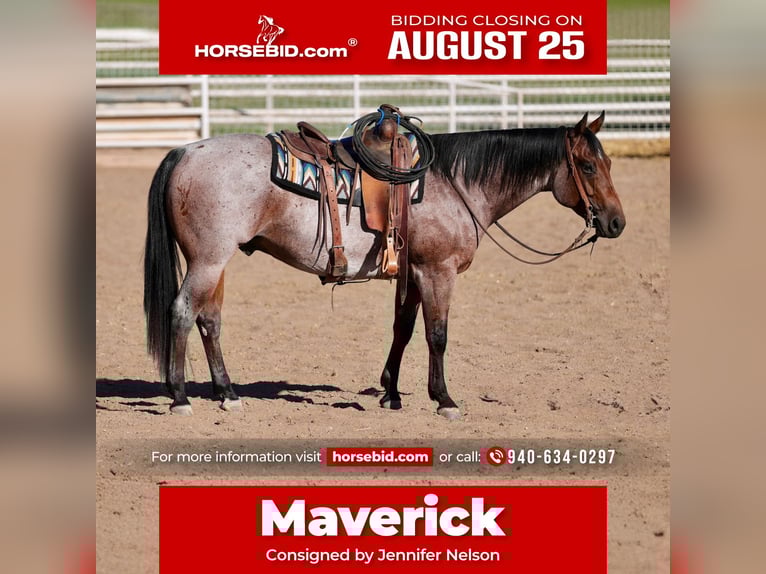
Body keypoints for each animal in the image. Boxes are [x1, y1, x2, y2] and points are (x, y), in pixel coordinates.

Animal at [143, 111, 625, 419]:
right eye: (586, 165)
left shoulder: (412, 272)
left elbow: (403, 330)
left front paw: (391, 393)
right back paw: (180, 397)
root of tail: (185, 151)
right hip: (208, 260)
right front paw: (444, 399)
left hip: (215, 262)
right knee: (182, 312)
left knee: (210, 320)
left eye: (607, 161)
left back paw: (227, 393)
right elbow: (437, 335)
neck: (456, 182)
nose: (617, 222)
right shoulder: (437, 271)